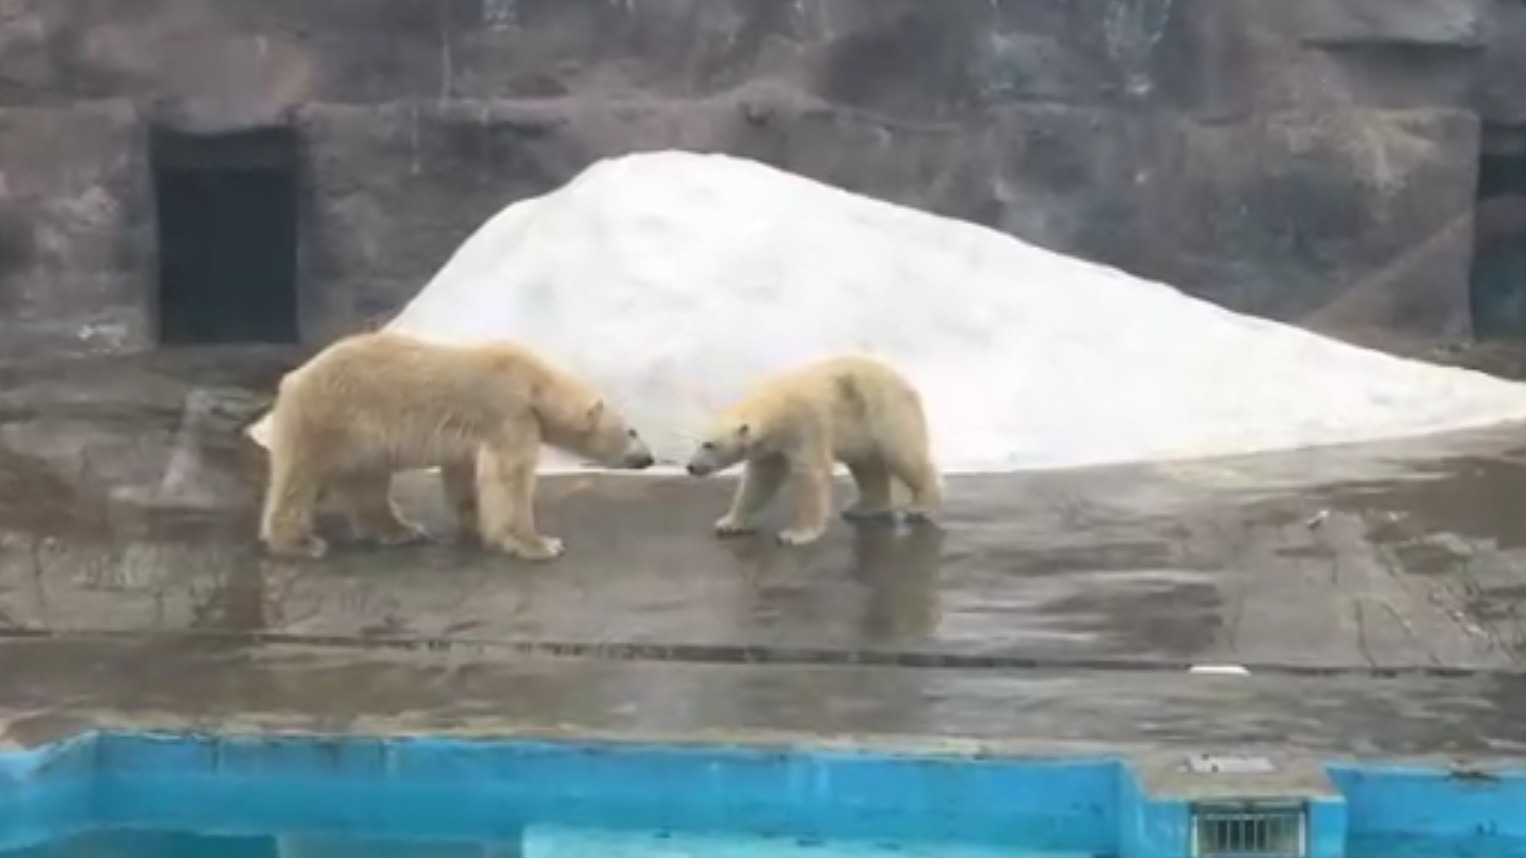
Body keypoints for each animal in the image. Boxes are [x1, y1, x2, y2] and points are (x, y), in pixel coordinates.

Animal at [258, 330, 655, 561]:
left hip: (362, 439)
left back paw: (401, 531)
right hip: (329, 418)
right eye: (633, 431)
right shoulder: (508, 412)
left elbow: (466, 473)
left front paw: (475, 525)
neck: (532, 382)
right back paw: (299, 543)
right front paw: (540, 544)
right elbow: (509, 478)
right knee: (299, 479)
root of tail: (293, 377)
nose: (648, 458)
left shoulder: (474, 434)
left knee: (368, 483)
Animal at [683, 354, 943, 546]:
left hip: (886, 409)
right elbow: (760, 480)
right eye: (697, 441)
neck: (778, 403)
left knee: (904, 455)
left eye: (709, 444)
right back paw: (862, 507)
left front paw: (795, 535)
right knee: (866, 465)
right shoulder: (772, 446)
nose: (691, 467)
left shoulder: (806, 425)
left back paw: (922, 507)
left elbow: (810, 474)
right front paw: (729, 523)